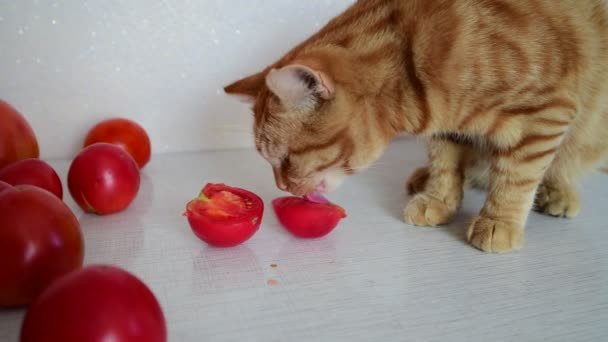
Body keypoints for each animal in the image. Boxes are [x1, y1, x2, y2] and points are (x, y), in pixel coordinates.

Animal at [224, 0, 608, 251]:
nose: (283, 187)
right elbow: (446, 165)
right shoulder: (449, 127)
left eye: (285, 159)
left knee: (560, 164)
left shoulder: (546, 112)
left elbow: (517, 177)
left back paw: (557, 192)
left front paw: (500, 220)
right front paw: (438, 198)